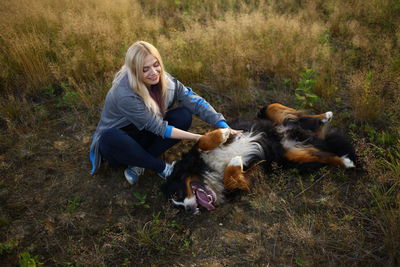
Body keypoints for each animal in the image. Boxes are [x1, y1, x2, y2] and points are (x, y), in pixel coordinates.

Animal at [160, 103, 356, 215]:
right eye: (178, 207)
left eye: (177, 194)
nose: (190, 210)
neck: (208, 172)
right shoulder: (246, 180)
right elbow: (232, 178)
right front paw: (235, 162)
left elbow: (203, 141)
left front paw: (222, 134)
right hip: (292, 156)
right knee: (325, 156)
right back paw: (346, 162)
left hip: (270, 114)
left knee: (286, 111)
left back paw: (325, 116)